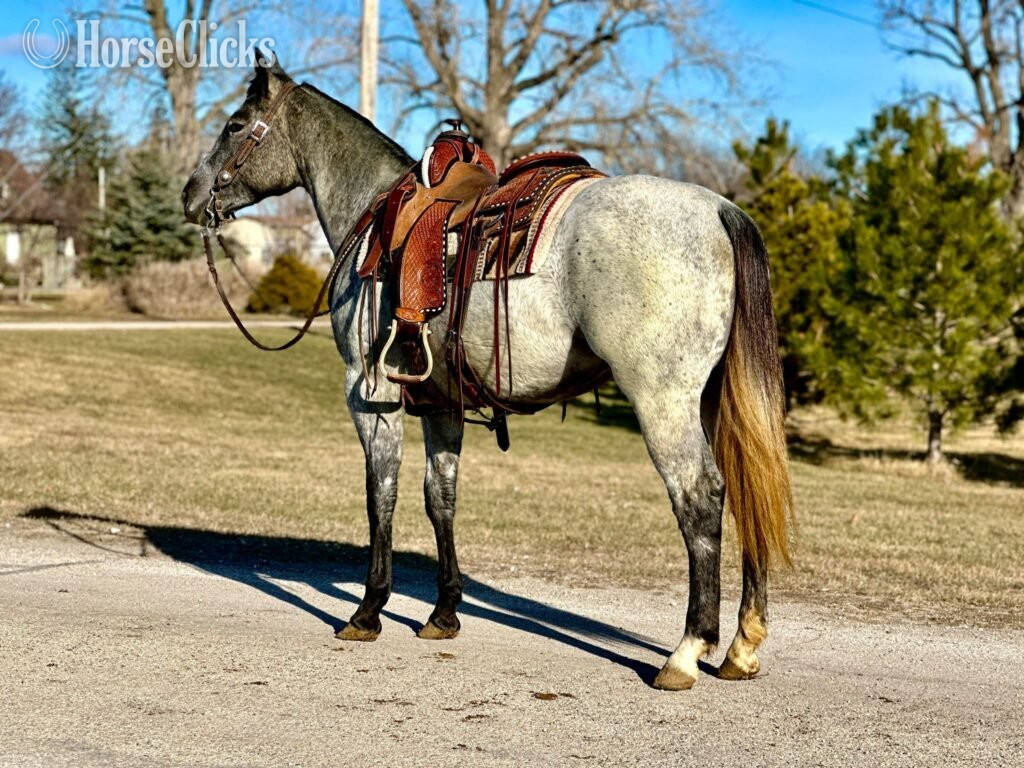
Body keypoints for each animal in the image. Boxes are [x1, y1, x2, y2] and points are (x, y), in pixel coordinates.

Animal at [182, 56, 793, 691]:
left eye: (234, 125)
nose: (190, 195)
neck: (374, 214)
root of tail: (719, 209)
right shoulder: (438, 402)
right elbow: (440, 497)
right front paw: (443, 612)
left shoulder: (370, 396)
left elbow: (382, 494)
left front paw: (368, 610)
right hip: (713, 401)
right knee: (744, 490)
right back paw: (741, 647)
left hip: (662, 400)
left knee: (700, 496)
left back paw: (686, 652)